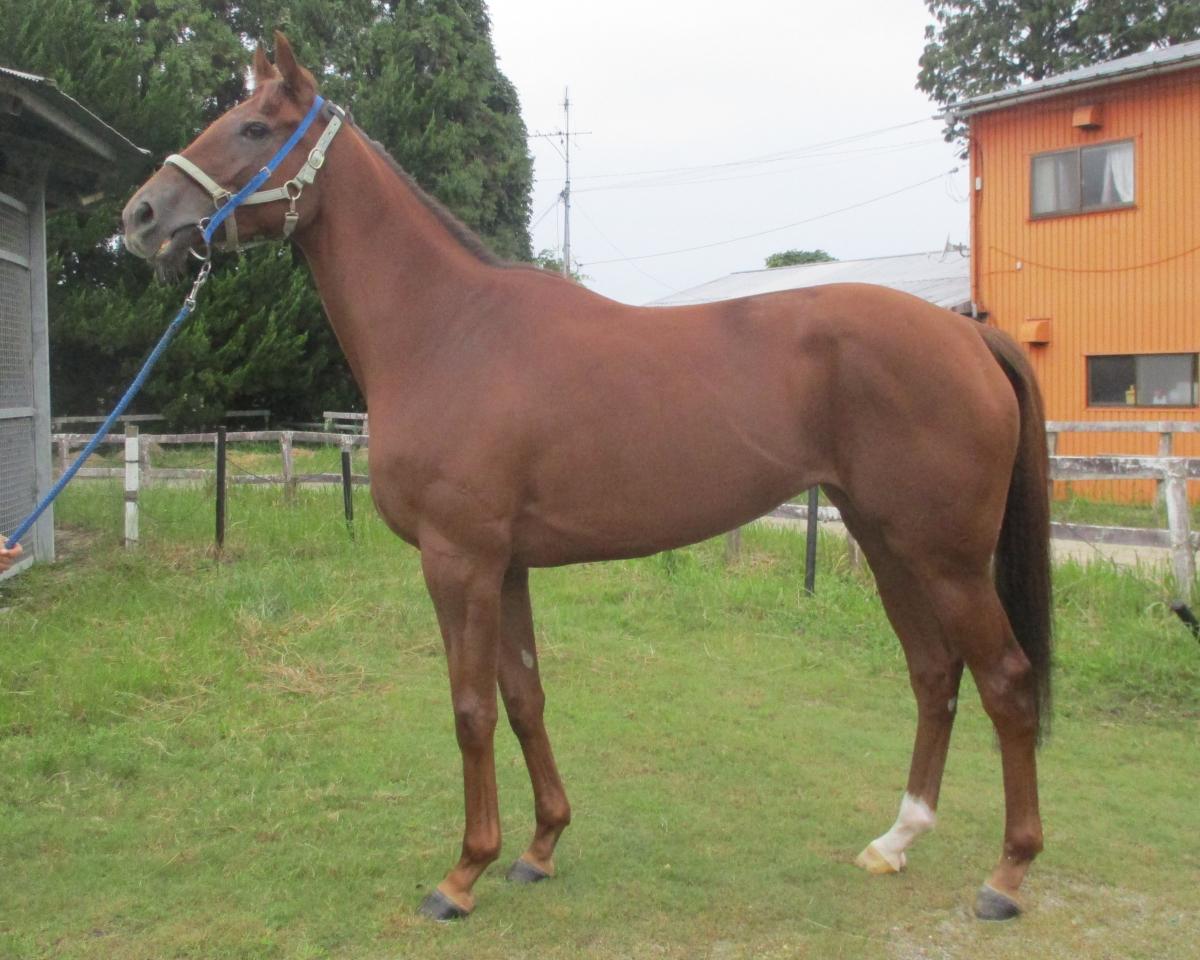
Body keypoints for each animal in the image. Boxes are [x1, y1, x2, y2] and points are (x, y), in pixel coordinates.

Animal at [122, 33, 1052, 924]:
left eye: (254, 127)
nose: (142, 215)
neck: (448, 331)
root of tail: (968, 333)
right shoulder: (505, 567)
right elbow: (524, 696)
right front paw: (539, 848)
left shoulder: (458, 561)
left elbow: (470, 709)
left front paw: (462, 874)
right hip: (887, 541)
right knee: (933, 674)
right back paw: (896, 840)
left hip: (946, 558)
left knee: (1006, 681)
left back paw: (1007, 876)